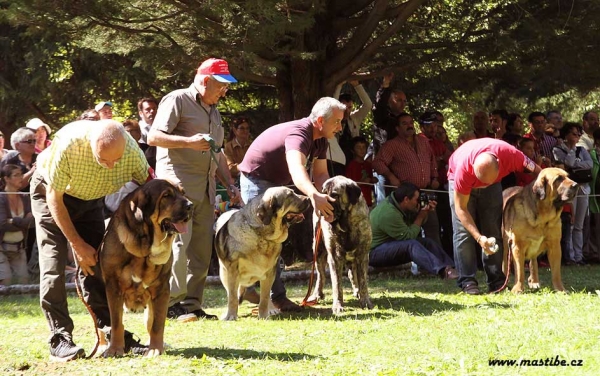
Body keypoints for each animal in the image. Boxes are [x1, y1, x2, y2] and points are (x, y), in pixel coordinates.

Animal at [99, 179, 191, 356]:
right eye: (166, 195)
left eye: (183, 192)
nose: (191, 205)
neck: (144, 247)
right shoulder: (113, 288)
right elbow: (116, 323)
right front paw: (114, 349)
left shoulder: (162, 290)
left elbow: (157, 325)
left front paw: (155, 349)